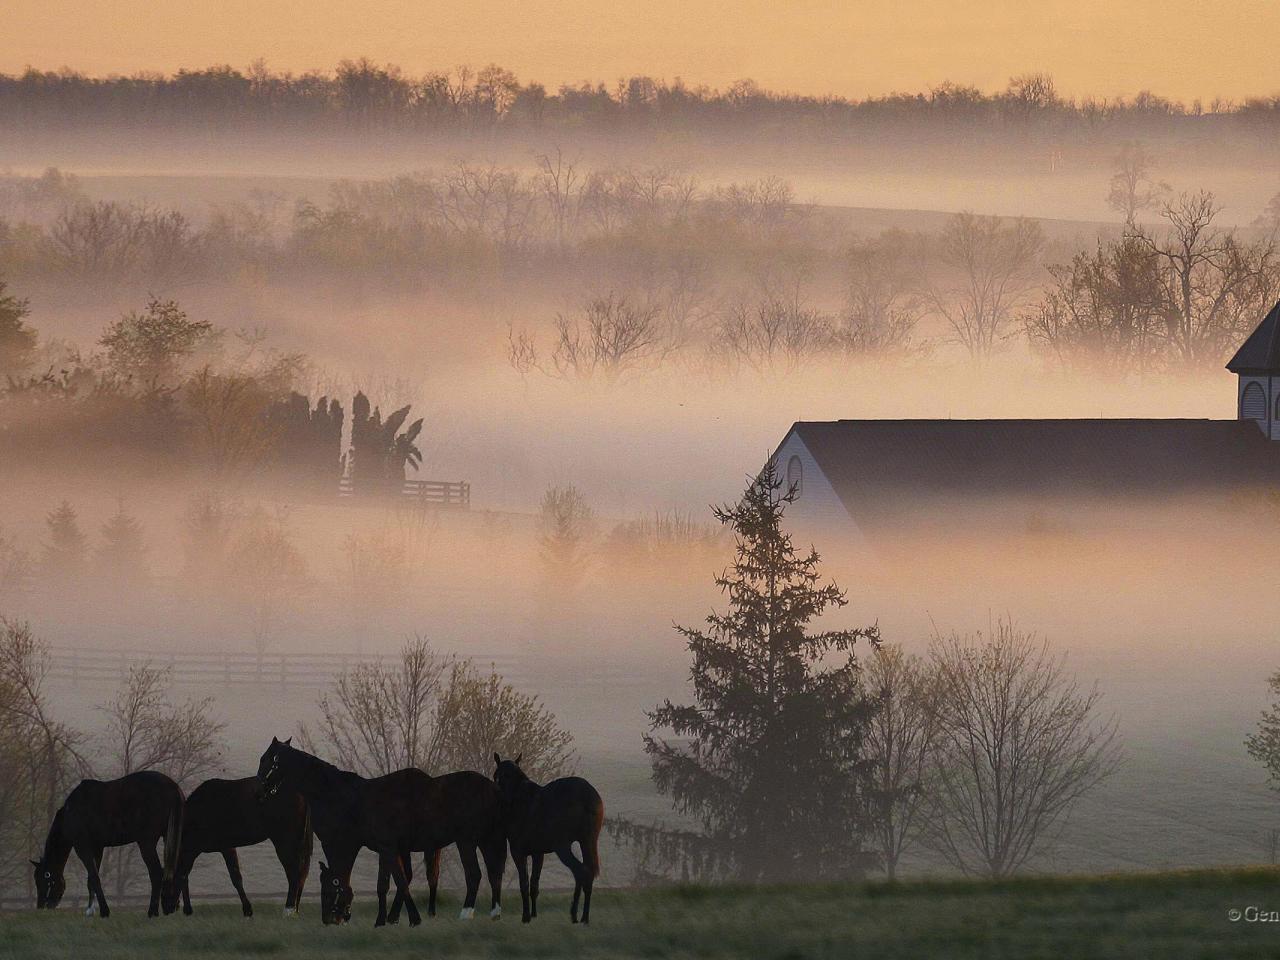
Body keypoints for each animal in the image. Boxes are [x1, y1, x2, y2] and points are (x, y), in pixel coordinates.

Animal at [32, 773, 185, 921]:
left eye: (43, 879)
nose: (41, 906)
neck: (71, 813)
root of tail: (173, 787)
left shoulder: (83, 848)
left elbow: (94, 877)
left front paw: (104, 911)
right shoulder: (97, 848)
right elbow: (91, 880)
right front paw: (90, 911)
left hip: (146, 843)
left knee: (156, 873)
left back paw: (152, 912)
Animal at [162, 778, 312, 921]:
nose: (166, 909)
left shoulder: (219, 848)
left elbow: (235, 878)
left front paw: (247, 910)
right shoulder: (210, 849)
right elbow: (186, 876)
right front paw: (187, 910)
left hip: (284, 842)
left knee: (293, 873)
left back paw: (289, 909)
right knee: (300, 874)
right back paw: (295, 908)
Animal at [254, 742, 504, 926]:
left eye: (266, 759)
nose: (329, 920)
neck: (342, 796)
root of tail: (492, 788)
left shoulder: (372, 847)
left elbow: (397, 881)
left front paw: (412, 919)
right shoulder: (384, 849)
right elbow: (384, 884)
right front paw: (385, 920)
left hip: (466, 841)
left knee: (474, 875)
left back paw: (466, 913)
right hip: (487, 840)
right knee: (494, 874)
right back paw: (494, 913)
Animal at [494, 757, 604, 926]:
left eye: (501, 776)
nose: (500, 797)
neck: (520, 800)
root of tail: (588, 796)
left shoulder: (518, 852)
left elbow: (524, 884)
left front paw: (526, 917)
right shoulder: (538, 854)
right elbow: (534, 884)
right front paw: (534, 915)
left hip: (563, 847)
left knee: (580, 871)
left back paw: (575, 914)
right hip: (587, 842)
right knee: (588, 872)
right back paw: (583, 917)